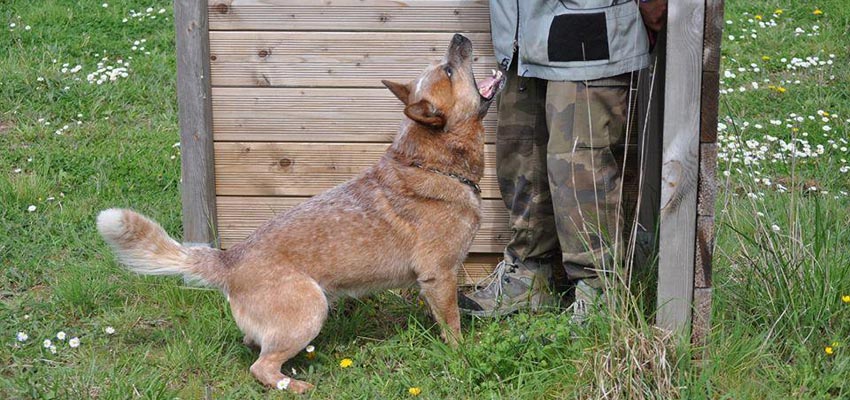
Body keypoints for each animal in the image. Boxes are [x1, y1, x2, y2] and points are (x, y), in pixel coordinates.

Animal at [97, 35, 504, 394]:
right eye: (449, 70)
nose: (459, 35)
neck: (432, 163)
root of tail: (229, 260)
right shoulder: (439, 275)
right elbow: (452, 325)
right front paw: (461, 355)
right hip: (311, 308)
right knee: (261, 366)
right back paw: (293, 385)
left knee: (255, 346)